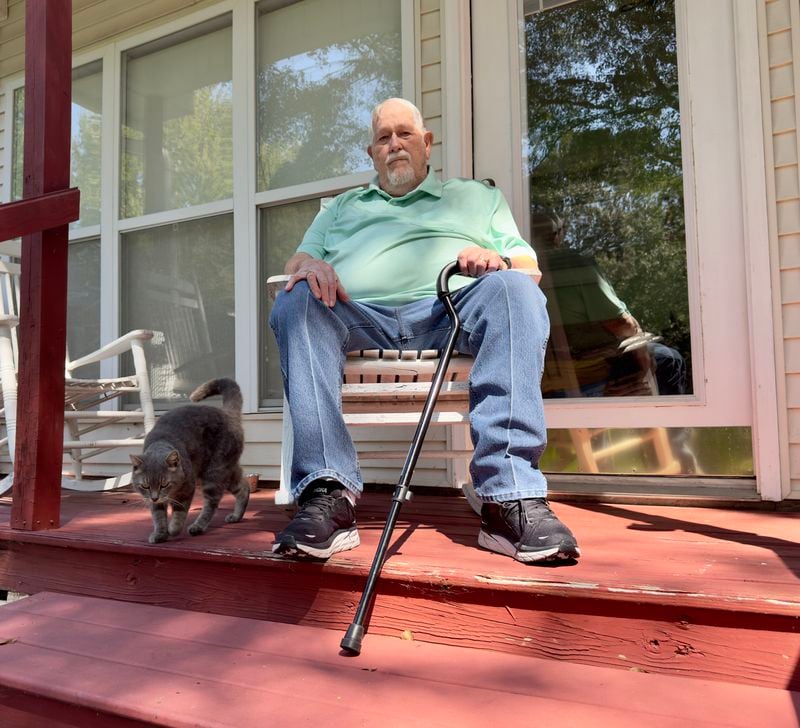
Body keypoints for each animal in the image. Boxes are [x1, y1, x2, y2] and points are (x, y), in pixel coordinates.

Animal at [130, 378, 248, 544]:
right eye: (145, 486)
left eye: (164, 484)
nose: (154, 497)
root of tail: (226, 412)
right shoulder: (154, 502)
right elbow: (158, 517)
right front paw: (160, 534)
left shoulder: (187, 489)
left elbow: (179, 514)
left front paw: (173, 529)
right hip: (227, 471)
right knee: (244, 487)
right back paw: (236, 516)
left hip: (214, 474)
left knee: (211, 504)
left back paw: (197, 527)